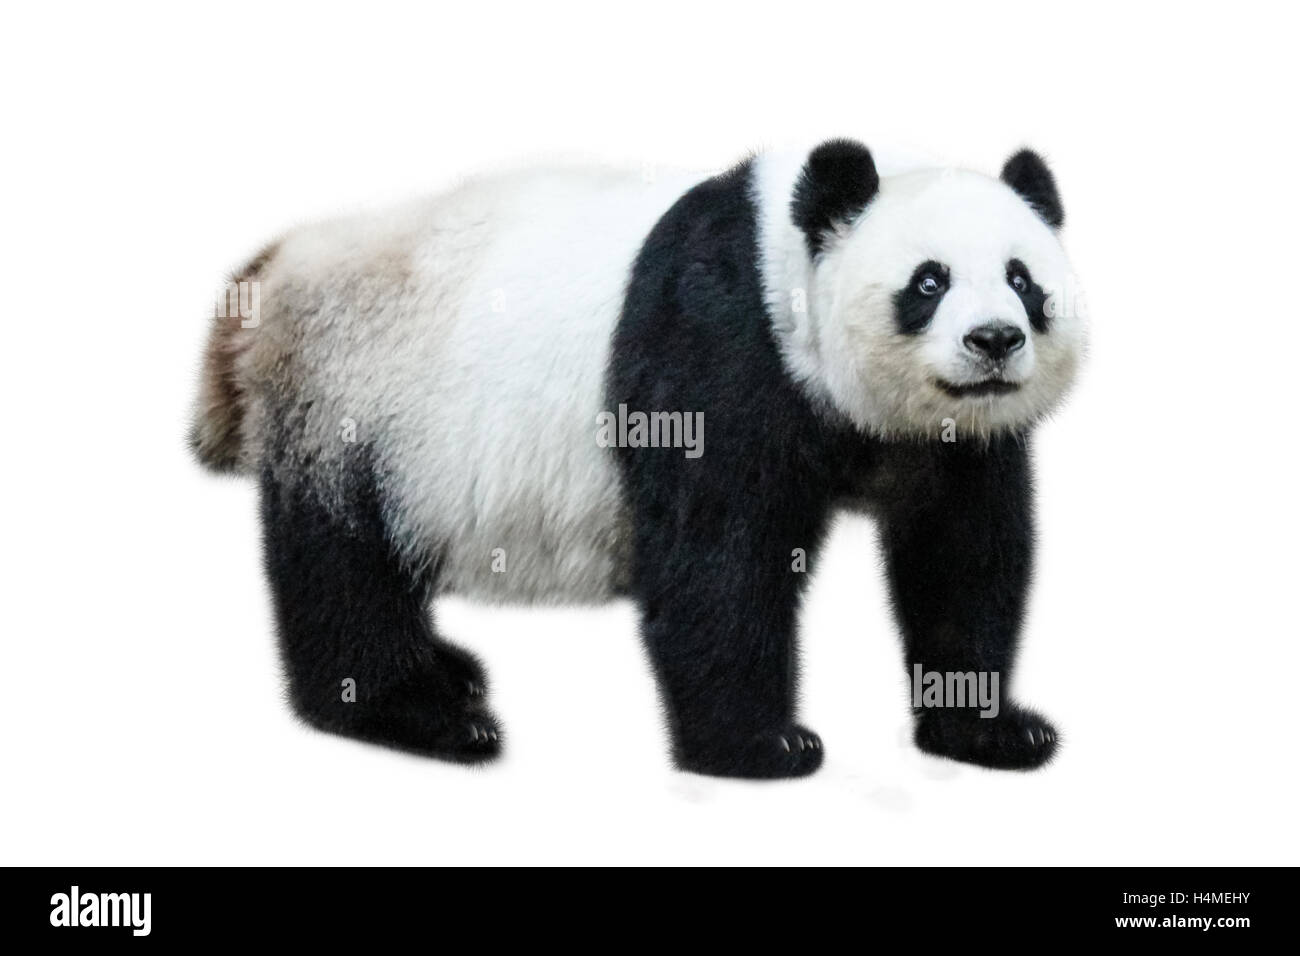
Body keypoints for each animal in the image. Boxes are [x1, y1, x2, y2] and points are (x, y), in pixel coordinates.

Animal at [191, 138, 1085, 779]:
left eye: (1022, 279)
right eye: (929, 282)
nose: (994, 342)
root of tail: (269, 274)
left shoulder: (953, 439)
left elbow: (961, 553)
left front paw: (989, 730)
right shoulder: (716, 342)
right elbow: (717, 555)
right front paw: (760, 747)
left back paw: (446, 672)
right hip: (354, 396)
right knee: (345, 571)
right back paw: (419, 714)